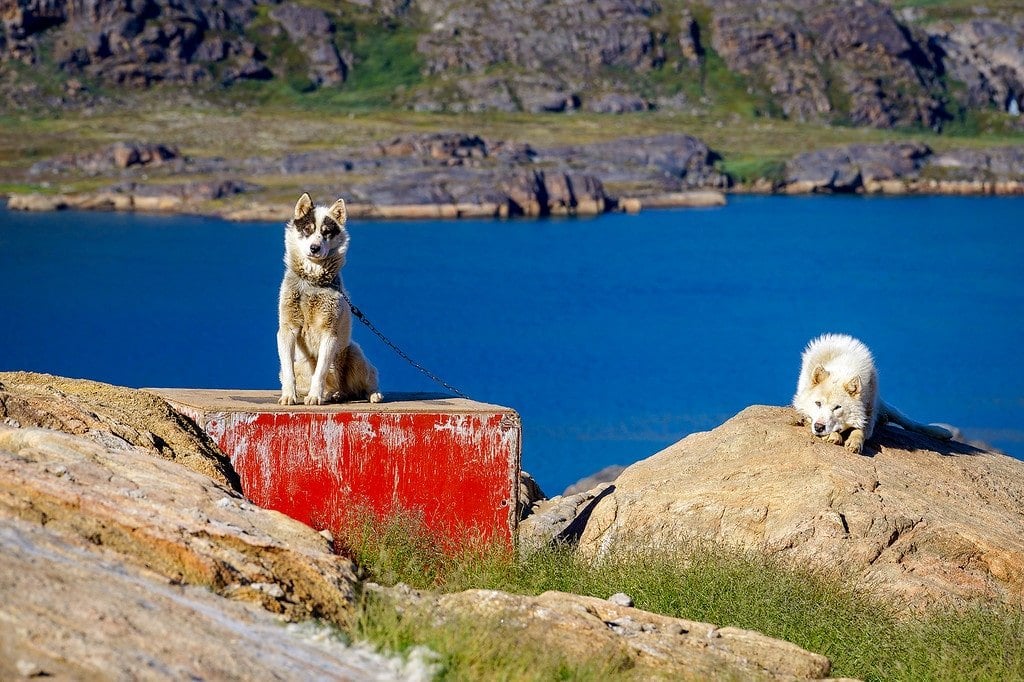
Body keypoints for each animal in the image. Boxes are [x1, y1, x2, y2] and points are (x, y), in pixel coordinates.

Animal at [276, 191, 385, 403]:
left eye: (326, 232)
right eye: (308, 230)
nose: (314, 248)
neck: (312, 281)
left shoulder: (329, 333)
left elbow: (321, 371)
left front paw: (314, 397)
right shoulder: (287, 329)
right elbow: (288, 370)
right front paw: (289, 396)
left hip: (354, 354)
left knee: (368, 380)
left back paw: (372, 394)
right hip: (302, 364)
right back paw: (331, 394)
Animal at [790, 333, 950, 450]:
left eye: (837, 407)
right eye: (818, 403)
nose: (819, 427)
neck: (843, 368)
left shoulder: (869, 410)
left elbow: (860, 430)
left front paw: (855, 442)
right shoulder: (802, 405)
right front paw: (833, 436)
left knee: (908, 422)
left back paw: (941, 432)